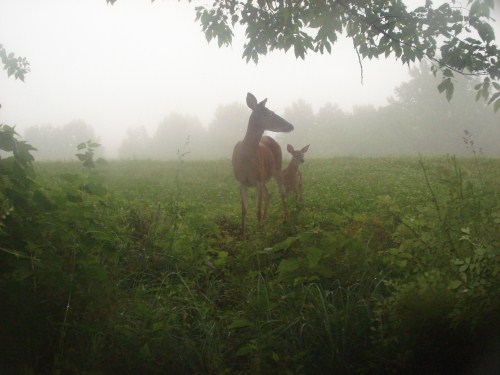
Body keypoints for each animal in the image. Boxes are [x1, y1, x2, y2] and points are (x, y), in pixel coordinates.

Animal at [233, 94, 294, 241]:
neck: (245, 159)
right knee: (269, 193)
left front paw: (259, 237)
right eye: (270, 113)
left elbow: (257, 210)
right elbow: (244, 210)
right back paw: (266, 222)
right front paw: (243, 237)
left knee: (282, 193)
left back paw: (286, 219)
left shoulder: (258, 181)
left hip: (277, 169)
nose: (291, 125)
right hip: (265, 176)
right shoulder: (242, 182)